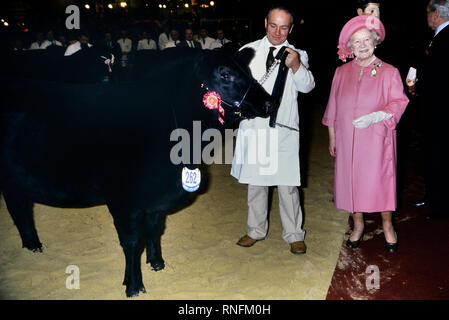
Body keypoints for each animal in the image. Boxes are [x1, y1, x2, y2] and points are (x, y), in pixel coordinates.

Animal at [0, 47, 274, 298]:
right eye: (225, 74)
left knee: (19, 207)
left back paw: (33, 245)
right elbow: (132, 241)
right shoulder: (124, 200)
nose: (269, 102)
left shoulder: (154, 200)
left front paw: (157, 262)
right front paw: (133, 285)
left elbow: (154, 229)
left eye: (248, 70)